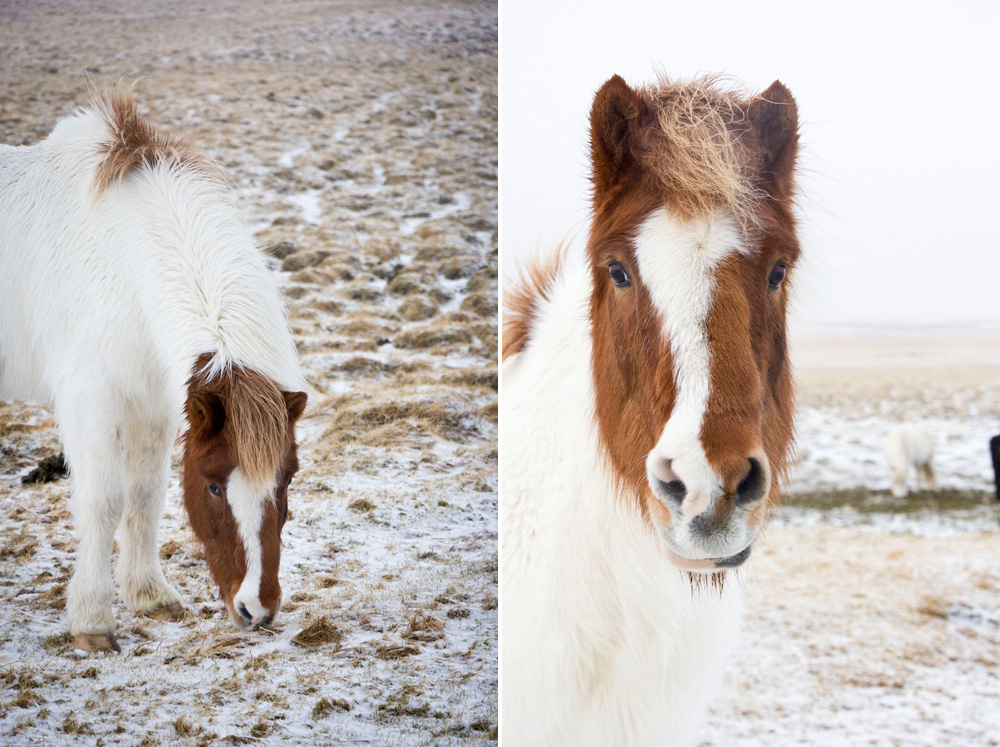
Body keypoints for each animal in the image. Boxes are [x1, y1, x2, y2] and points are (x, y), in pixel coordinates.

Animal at [0, 89, 308, 656]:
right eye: (213, 488)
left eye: (287, 479)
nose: (258, 610)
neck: (122, 265)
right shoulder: (91, 400)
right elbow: (104, 501)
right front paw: (93, 621)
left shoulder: (155, 404)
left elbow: (144, 494)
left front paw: (150, 595)